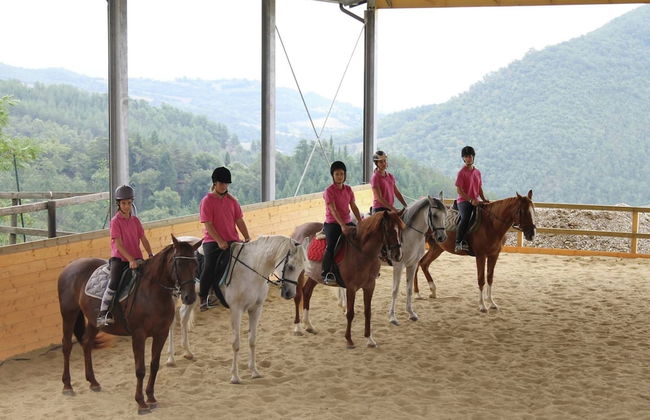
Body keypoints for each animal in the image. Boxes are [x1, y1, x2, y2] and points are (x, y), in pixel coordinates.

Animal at [57, 235, 201, 414]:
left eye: (195, 264)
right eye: (179, 263)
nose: (190, 298)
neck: (152, 291)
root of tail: (70, 266)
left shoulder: (161, 333)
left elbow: (154, 365)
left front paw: (151, 398)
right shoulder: (138, 335)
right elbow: (140, 370)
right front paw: (141, 403)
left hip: (93, 321)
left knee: (86, 342)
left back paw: (93, 382)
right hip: (69, 313)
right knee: (67, 345)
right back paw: (67, 386)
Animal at [163, 235, 306, 384]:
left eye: (302, 268)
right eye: (290, 267)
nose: (290, 294)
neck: (252, 270)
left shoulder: (256, 309)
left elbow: (252, 340)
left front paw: (254, 371)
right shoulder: (236, 310)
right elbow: (236, 344)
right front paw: (235, 377)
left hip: (191, 296)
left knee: (183, 316)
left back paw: (188, 352)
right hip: (174, 295)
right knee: (172, 323)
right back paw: (171, 359)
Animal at [291, 210, 405, 349]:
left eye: (400, 230)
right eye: (388, 230)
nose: (397, 255)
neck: (362, 251)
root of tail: (298, 229)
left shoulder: (370, 286)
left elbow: (368, 312)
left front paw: (369, 339)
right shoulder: (351, 287)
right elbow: (350, 313)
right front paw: (349, 340)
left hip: (314, 275)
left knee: (307, 292)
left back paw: (309, 326)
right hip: (298, 272)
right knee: (298, 296)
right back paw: (298, 328)